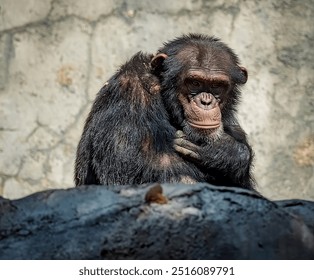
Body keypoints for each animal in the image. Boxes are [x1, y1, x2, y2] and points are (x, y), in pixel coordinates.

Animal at [75, 34, 255, 189]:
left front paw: (225, 152)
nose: (206, 101)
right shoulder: (129, 92)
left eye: (217, 85)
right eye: (194, 83)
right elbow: (126, 169)